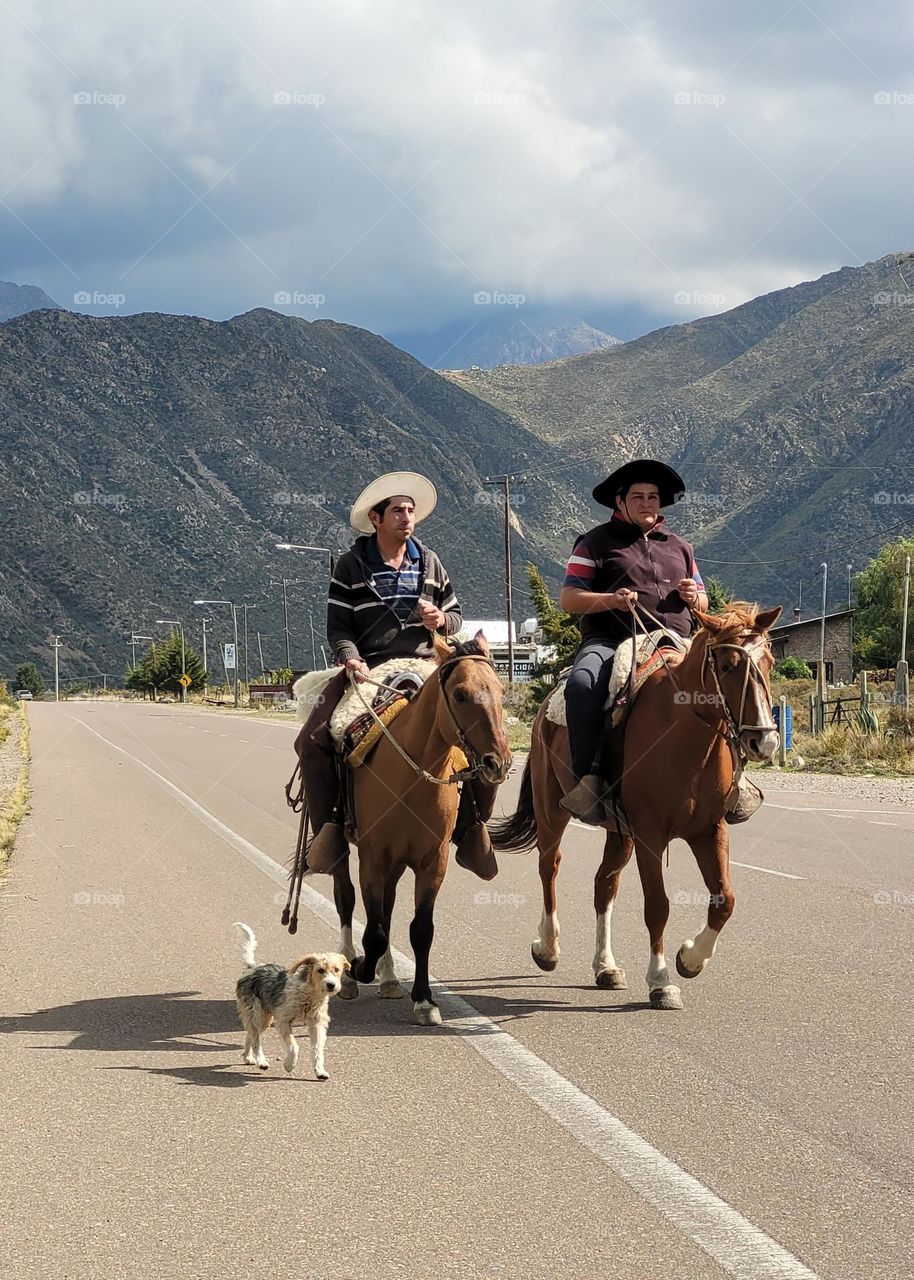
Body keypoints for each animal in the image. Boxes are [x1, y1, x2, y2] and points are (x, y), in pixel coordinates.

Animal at [235, 921, 348, 1080]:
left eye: (337, 970)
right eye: (320, 970)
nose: (331, 985)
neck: (308, 994)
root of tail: (252, 968)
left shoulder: (317, 1024)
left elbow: (318, 1049)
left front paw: (320, 1070)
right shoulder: (283, 1021)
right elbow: (294, 1046)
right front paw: (289, 1065)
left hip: (263, 1018)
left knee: (250, 1034)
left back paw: (248, 1057)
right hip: (258, 1014)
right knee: (256, 1038)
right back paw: (261, 1061)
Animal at [330, 634, 512, 1024]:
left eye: (501, 690)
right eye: (460, 694)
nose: (499, 762)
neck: (409, 778)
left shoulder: (432, 861)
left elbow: (420, 929)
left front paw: (424, 999)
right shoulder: (372, 857)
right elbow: (375, 931)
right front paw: (360, 967)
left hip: (399, 862)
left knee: (387, 905)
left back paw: (388, 978)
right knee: (346, 899)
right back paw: (351, 972)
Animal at [489, 606, 778, 1008]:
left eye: (769, 662)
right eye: (728, 666)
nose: (764, 740)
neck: (683, 733)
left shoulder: (709, 830)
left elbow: (725, 901)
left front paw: (690, 959)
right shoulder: (650, 835)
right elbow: (657, 906)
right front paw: (661, 980)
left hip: (619, 832)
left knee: (604, 884)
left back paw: (605, 966)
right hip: (552, 813)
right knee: (549, 868)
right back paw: (547, 948)